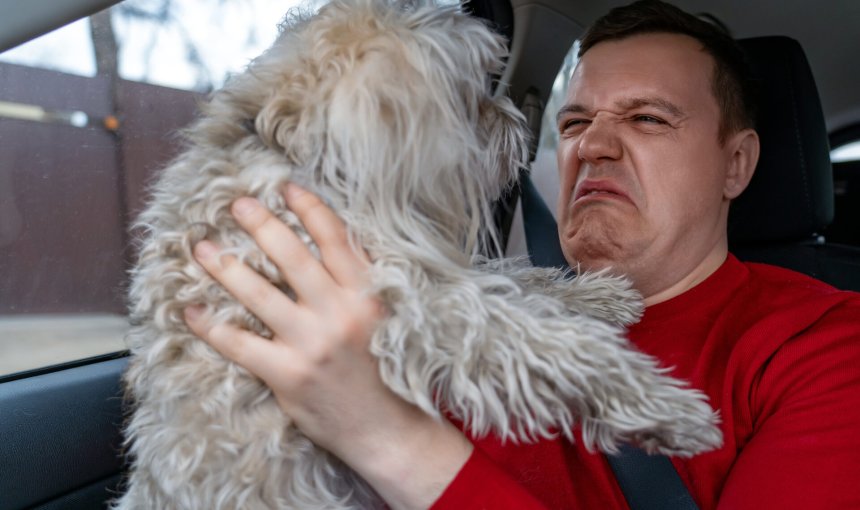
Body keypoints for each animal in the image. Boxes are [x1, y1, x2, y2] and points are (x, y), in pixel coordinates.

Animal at [112, 0, 720, 510]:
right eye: (472, 91)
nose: (519, 124)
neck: (299, 155)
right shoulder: (417, 302)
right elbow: (527, 332)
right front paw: (662, 404)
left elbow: (518, 282)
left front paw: (601, 295)